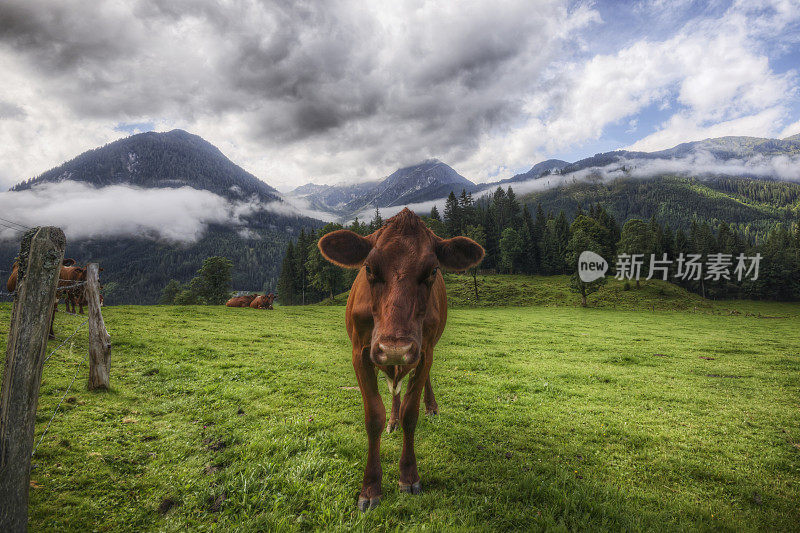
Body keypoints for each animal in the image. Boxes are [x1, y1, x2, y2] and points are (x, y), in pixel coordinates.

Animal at [318, 208, 482, 512]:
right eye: (369, 268)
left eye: (433, 270)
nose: (395, 347)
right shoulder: (361, 352)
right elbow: (374, 416)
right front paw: (370, 487)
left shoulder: (423, 350)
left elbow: (410, 413)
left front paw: (408, 476)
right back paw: (392, 420)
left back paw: (431, 406)